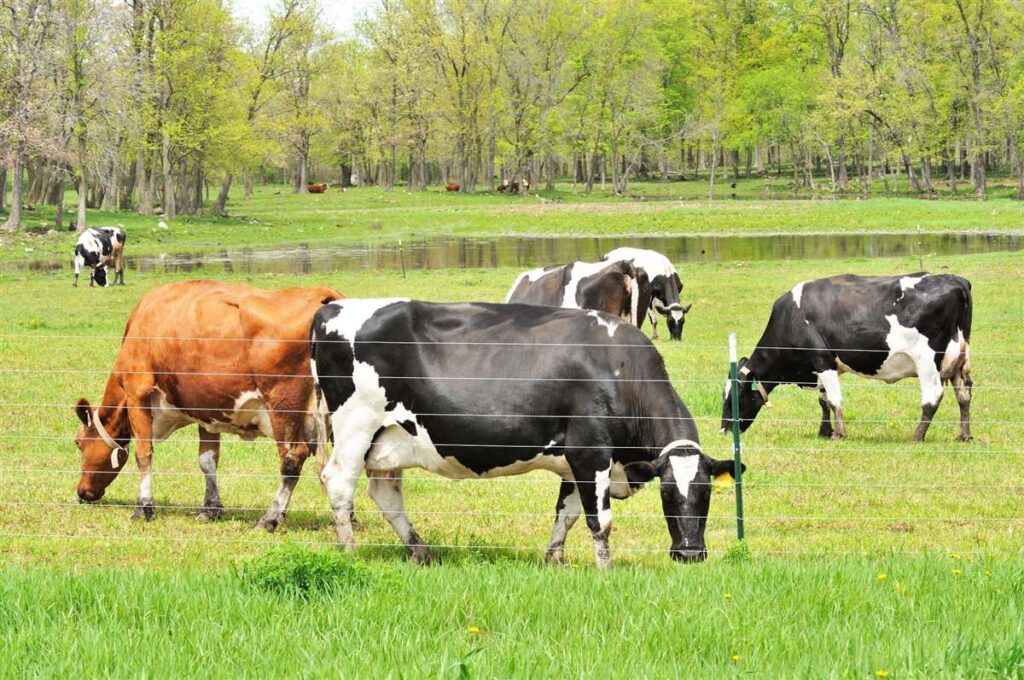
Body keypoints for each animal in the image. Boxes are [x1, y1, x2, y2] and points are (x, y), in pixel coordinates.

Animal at [74, 278, 344, 528]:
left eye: (78, 442)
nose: (82, 491)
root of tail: (322, 293)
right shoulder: (207, 410)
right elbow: (207, 460)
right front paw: (210, 509)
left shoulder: (137, 393)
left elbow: (144, 454)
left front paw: (144, 507)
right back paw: (343, 517)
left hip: (283, 409)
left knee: (292, 459)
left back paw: (270, 519)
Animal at [307, 301, 741, 569]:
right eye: (667, 494)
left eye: (706, 493)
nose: (689, 553)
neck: (617, 368)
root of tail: (330, 309)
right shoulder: (591, 451)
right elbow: (600, 521)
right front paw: (606, 569)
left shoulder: (574, 461)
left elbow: (566, 514)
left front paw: (554, 560)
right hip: (355, 427)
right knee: (339, 483)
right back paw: (349, 551)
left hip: (389, 438)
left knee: (385, 494)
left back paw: (421, 551)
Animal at [720, 274, 974, 440]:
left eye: (734, 397)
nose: (723, 430)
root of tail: (956, 280)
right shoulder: (823, 365)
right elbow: (823, 400)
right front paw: (824, 431)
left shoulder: (822, 360)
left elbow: (834, 400)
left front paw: (838, 434)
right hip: (959, 362)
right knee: (964, 394)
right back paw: (964, 435)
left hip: (927, 361)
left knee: (932, 398)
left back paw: (917, 436)